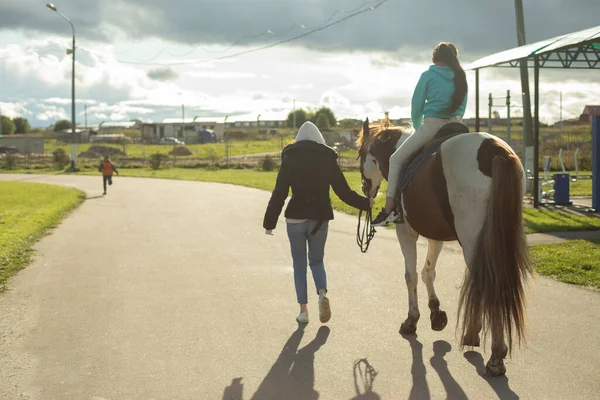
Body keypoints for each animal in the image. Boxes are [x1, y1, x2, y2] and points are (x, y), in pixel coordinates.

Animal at [356, 117, 536, 376]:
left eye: (361, 152)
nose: (364, 188)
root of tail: (494, 151)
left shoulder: (406, 232)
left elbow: (411, 275)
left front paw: (412, 319)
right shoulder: (435, 235)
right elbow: (428, 272)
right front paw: (436, 312)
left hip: (472, 241)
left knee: (487, 283)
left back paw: (495, 356)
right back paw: (474, 335)